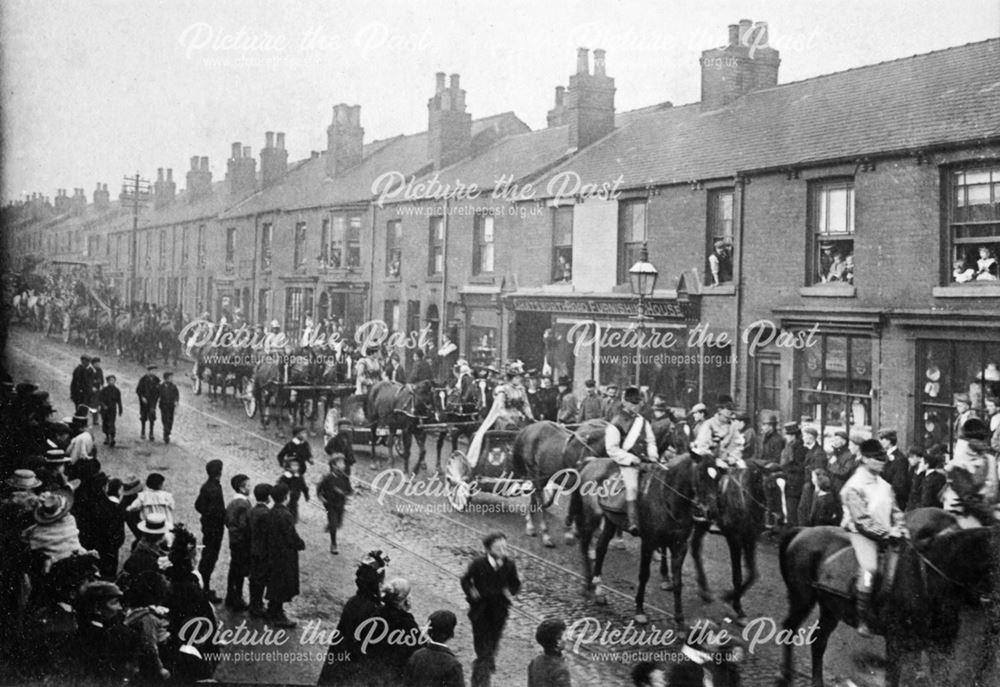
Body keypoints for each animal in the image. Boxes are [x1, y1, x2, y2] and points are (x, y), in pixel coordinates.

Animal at [512, 420, 604, 548]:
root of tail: (527, 429)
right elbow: (575, 508)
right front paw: (571, 533)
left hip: (541, 474)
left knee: (535, 496)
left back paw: (531, 523)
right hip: (533, 472)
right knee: (538, 499)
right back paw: (543, 533)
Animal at [576, 454, 700, 628]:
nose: (707, 511)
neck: (668, 498)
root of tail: (592, 462)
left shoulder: (680, 546)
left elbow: (677, 582)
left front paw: (680, 620)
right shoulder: (648, 542)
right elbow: (644, 575)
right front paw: (640, 611)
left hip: (610, 521)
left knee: (601, 548)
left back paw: (598, 590)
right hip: (592, 516)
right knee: (585, 545)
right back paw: (587, 585)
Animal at [688, 456, 764, 620]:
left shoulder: (750, 537)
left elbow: (753, 573)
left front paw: (730, 598)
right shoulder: (734, 537)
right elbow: (737, 575)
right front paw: (736, 605)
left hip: (700, 525)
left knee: (695, 548)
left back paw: (704, 590)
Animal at [776, 508, 996, 684]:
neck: (929, 575)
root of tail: (803, 530)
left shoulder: (940, 647)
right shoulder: (897, 643)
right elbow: (895, 678)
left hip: (830, 609)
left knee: (819, 642)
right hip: (802, 599)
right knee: (790, 628)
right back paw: (785, 674)